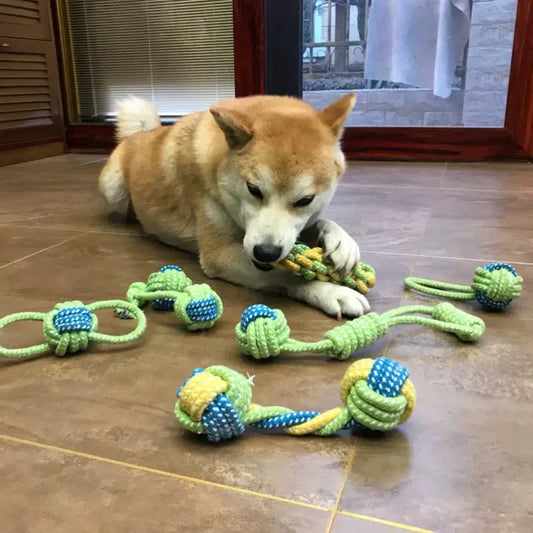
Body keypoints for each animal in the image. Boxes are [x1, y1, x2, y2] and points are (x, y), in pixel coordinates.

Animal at [96, 92, 370, 316]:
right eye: (253, 189)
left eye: (305, 200)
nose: (266, 252)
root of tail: (141, 134)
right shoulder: (219, 254)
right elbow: (285, 274)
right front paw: (330, 291)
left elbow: (321, 221)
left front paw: (343, 243)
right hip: (112, 187)